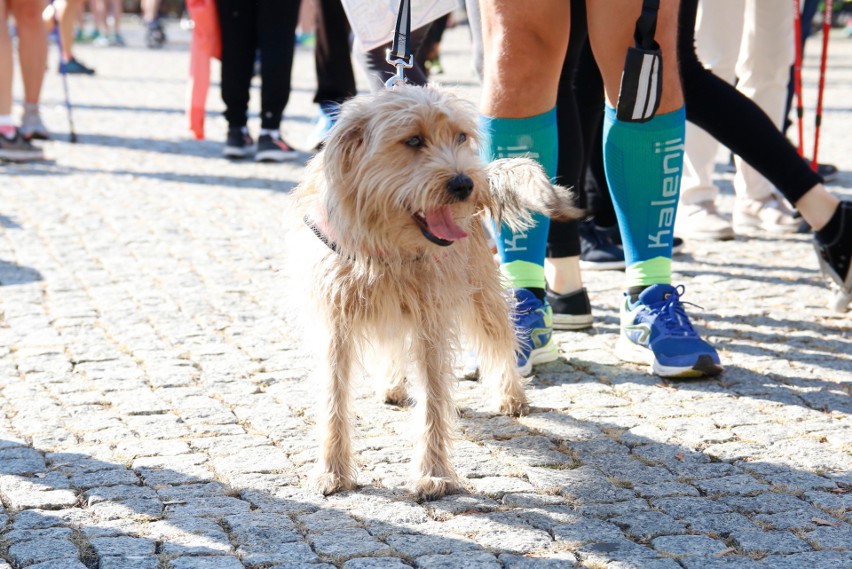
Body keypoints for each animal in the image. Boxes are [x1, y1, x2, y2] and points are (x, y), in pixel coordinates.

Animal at [292, 82, 580, 500]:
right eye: (413, 140)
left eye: (460, 137)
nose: (465, 184)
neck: (388, 249)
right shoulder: (337, 327)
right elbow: (334, 397)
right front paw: (332, 470)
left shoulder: (431, 324)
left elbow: (432, 400)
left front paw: (434, 474)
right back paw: (393, 385)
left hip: (483, 299)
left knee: (501, 340)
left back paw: (511, 395)